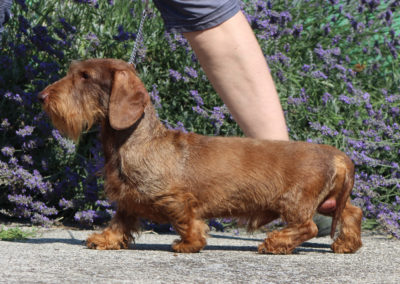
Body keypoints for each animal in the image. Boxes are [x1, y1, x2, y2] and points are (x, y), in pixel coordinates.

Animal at [39, 58, 362, 254]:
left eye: (85, 76)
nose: (42, 96)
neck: (139, 140)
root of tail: (336, 155)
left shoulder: (175, 198)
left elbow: (186, 221)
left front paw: (189, 243)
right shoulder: (129, 199)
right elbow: (120, 220)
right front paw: (106, 239)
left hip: (294, 202)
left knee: (307, 226)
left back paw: (275, 242)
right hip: (329, 200)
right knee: (352, 211)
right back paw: (347, 243)